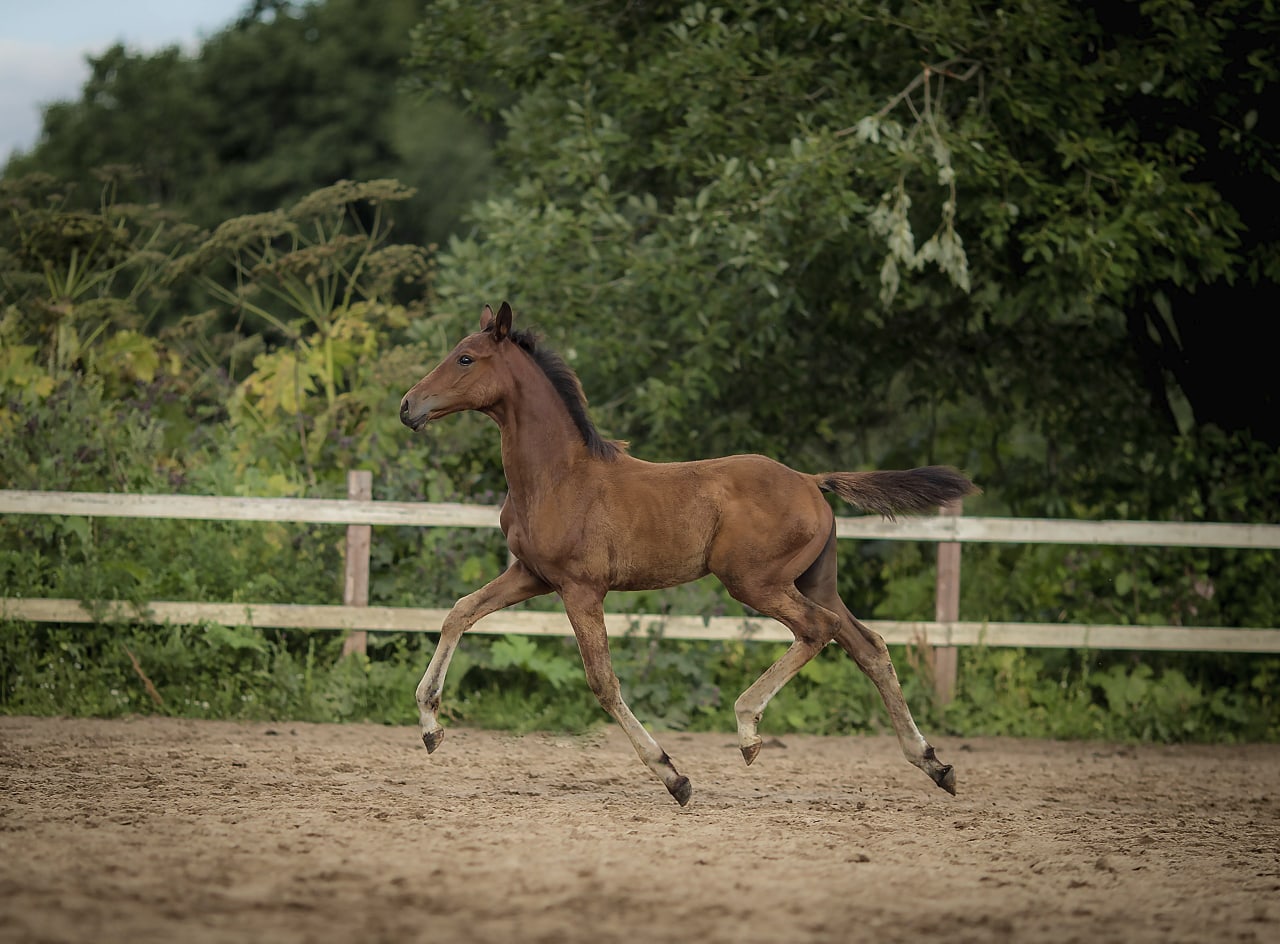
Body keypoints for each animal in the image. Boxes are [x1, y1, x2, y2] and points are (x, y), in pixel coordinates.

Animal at [399, 302, 978, 806]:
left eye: (466, 358)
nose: (408, 406)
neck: (557, 476)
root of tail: (812, 481)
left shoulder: (581, 588)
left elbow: (602, 681)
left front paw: (673, 776)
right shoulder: (531, 575)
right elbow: (459, 613)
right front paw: (430, 727)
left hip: (755, 582)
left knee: (819, 630)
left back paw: (748, 730)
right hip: (814, 581)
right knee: (868, 645)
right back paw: (934, 764)